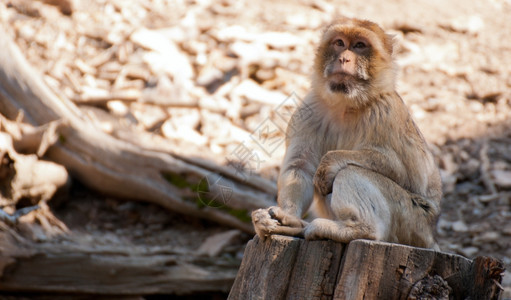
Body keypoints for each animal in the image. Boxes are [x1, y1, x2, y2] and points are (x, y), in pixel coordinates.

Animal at [253, 16, 444, 248]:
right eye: (340, 43)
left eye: (359, 45)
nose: (344, 58)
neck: (347, 103)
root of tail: (431, 237)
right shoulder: (309, 109)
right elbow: (300, 167)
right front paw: (286, 217)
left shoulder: (386, 111)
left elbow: (403, 170)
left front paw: (330, 162)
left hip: (413, 220)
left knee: (350, 171)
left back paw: (357, 229)